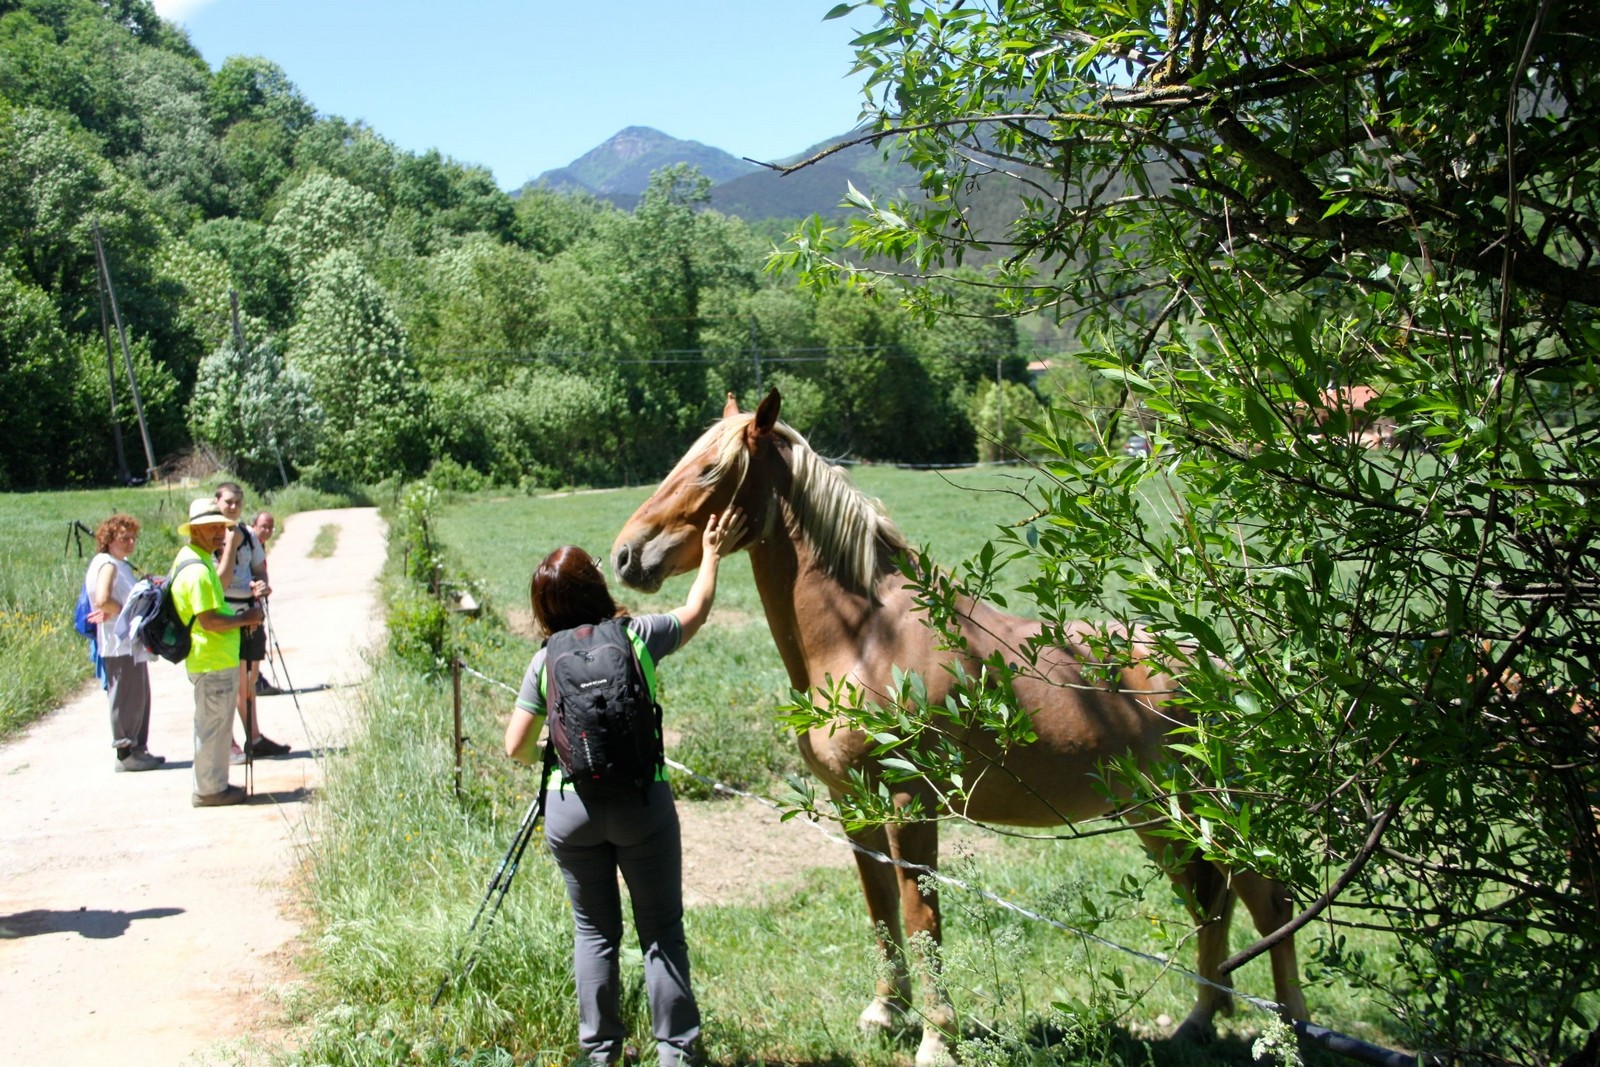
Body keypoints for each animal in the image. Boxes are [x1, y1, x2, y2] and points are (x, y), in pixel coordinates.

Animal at [611, 390, 1309, 1064]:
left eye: (710, 469)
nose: (625, 554)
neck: (867, 640)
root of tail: (1225, 671)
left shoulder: (908, 803)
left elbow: (921, 914)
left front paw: (936, 1038)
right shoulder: (854, 805)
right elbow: (881, 910)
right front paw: (885, 1011)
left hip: (1202, 813)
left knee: (1269, 905)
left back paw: (1290, 1032)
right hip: (1161, 820)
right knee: (1210, 904)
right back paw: (1198, 1022)